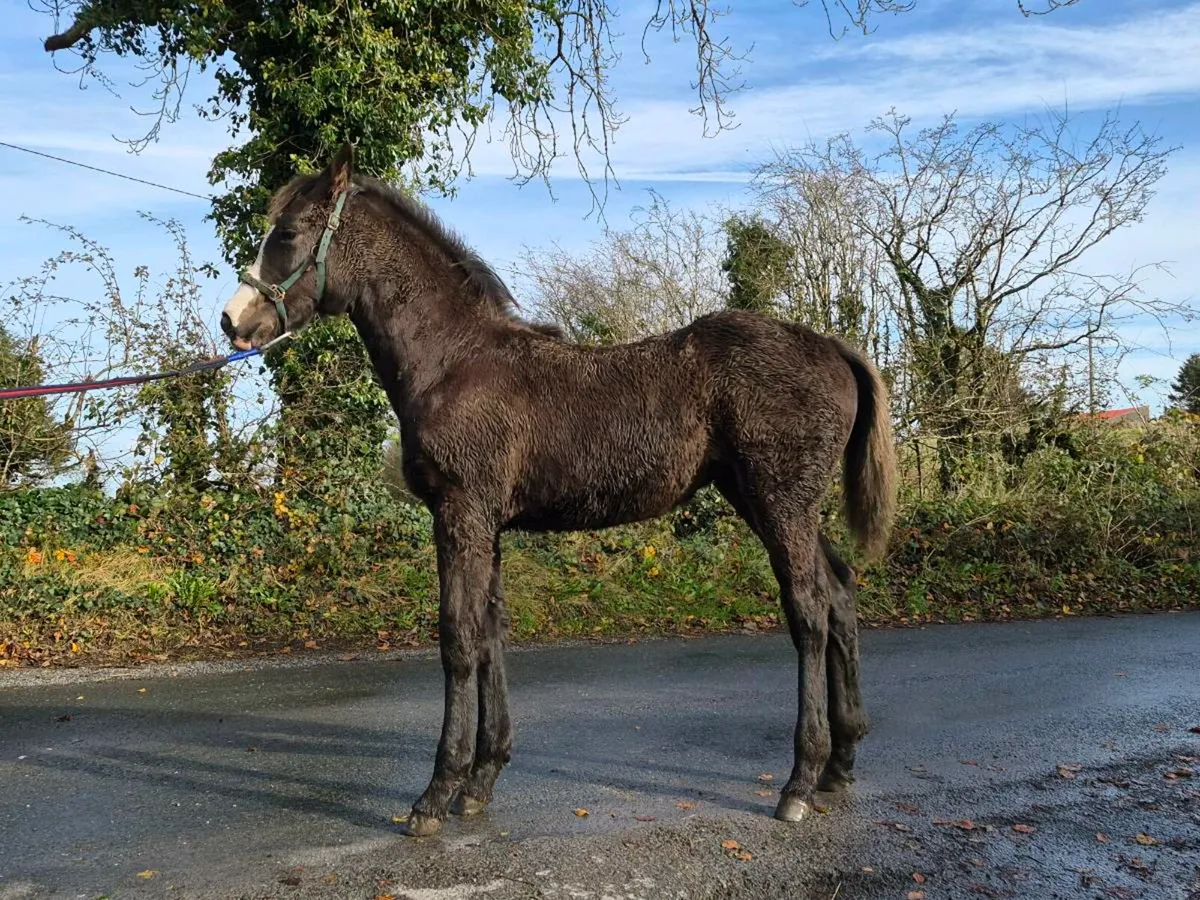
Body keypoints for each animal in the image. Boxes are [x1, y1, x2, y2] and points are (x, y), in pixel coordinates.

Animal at [220, 145, 896, 837]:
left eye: (289, 232)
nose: (233, 321)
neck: (454, 360)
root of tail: (833, 348)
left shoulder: (460, 512)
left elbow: (457, 639)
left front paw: (435, 794)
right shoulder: (485, 523)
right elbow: (490, 633)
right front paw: (480, 781)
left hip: (780, 502)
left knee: (809, 613)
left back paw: (798, 782)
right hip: (772, 504)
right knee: (840, 595)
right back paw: (839, 766)